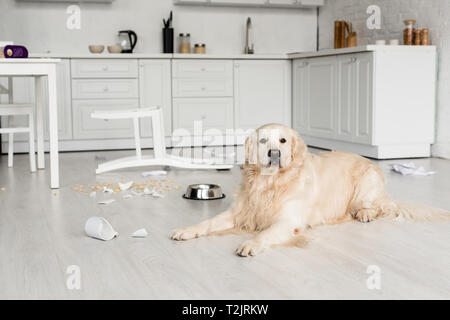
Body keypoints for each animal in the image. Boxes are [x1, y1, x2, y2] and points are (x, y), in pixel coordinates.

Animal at [171, 124, 448, 256]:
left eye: (283, 140)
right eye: (263, 141)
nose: (274, 153)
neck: (270, 183)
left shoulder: (288, 221)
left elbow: (265, 233)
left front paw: (250, 244)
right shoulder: (239, 212)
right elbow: (207, 223)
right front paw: (186, 230)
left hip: (365, 185)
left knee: (380, 206)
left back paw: (365, 213)